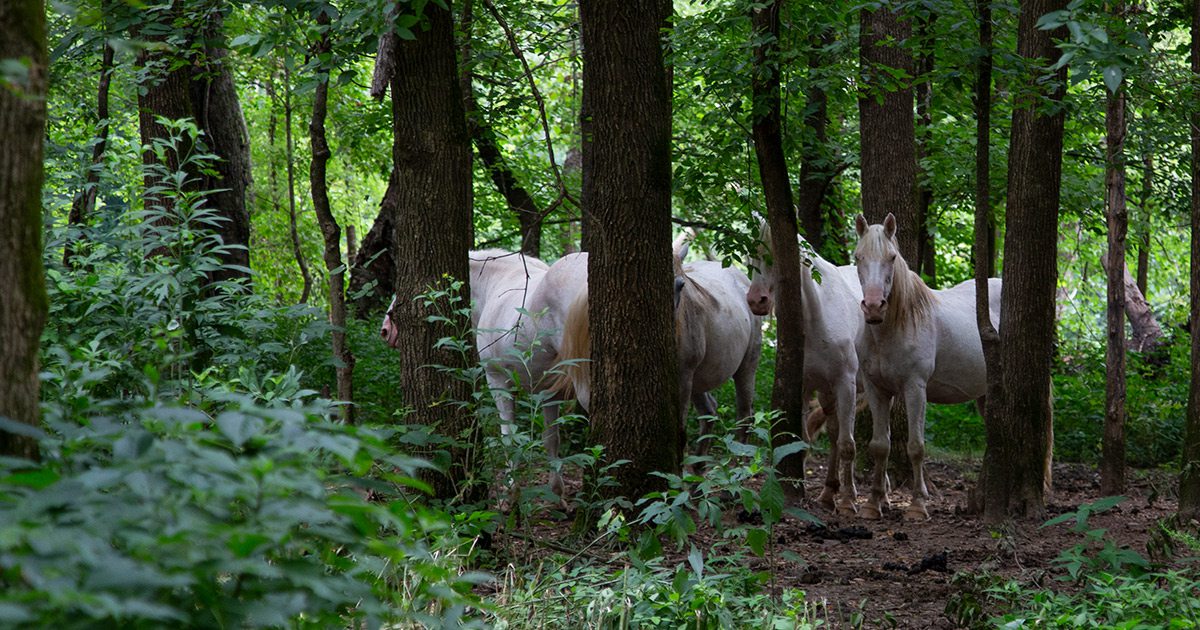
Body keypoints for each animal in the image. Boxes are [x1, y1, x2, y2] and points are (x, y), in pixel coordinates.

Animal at [552, 243, 758, 448]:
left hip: (744, 368)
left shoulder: (682, 379)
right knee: (709, 412)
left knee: (744, 416)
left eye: (681, 285)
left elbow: (680, 431)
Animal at [748, 218, 864, 513]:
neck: (817, 317)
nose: (755, 301)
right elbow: (800, 439)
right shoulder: (803, 387)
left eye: (774, 256)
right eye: (750, 257)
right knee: (833, 433)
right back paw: (828, 491)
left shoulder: (846, 384)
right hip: (827, 392)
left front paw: (849, 501)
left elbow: (848, 445)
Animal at [854, 213, 1003, 518]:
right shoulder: (877, 390)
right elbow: (880, 445)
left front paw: (917, 505)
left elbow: (916, 447)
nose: (874, 307)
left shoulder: (915, 389)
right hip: (985, 394)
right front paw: (874, 503)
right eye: (858, 257)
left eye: (891, 257)